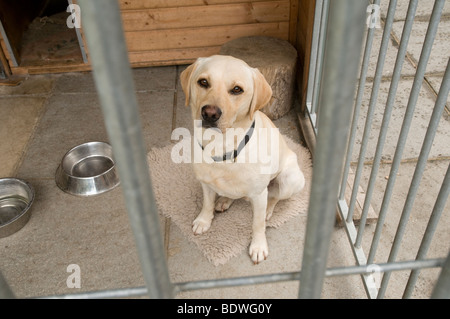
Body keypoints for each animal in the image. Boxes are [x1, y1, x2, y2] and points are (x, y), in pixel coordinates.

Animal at [180, 55, 306, 264]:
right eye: (203, 82)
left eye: (237, 89)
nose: (209, 113)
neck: (222, 147)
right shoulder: (205, 183)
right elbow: (207, 203)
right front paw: (204, 220)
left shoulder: (259, 194)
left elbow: (257, 224)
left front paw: (258, 246)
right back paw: (224, 200)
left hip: (289, 180)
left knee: (274, 197)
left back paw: (268, 211)